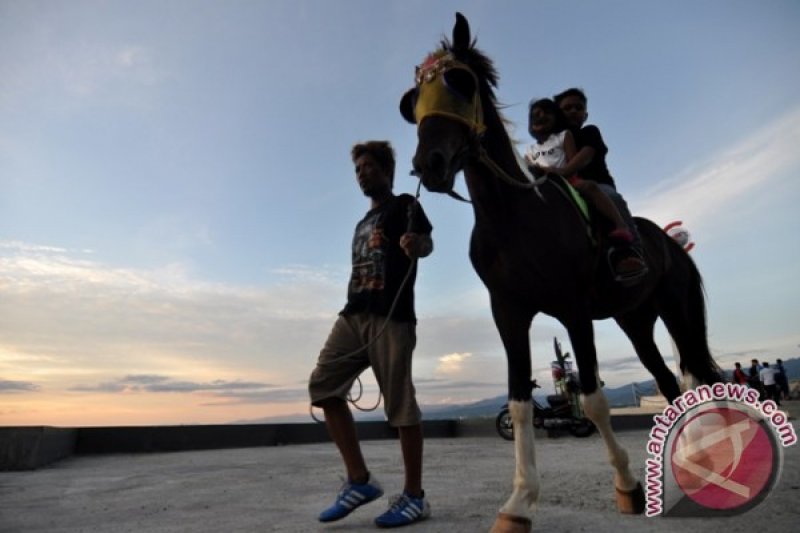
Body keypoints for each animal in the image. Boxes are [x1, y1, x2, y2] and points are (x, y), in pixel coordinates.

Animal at [398, 12, 720, 532]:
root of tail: (670, 240)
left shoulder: (573, 310)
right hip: (635, 320)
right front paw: (518, 503)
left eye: (460, 82)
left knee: (697, 372)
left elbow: (592, 398)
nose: (430, 162)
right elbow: (519, 405)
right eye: (412, 102)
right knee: (669, 380)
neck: (511, 215)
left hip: (676, 308)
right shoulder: (508, 313)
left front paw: (626, 485)